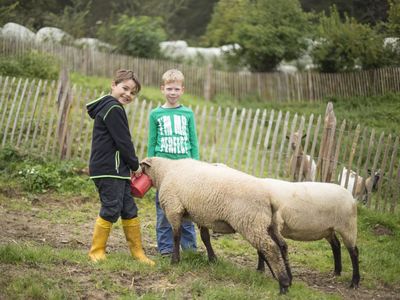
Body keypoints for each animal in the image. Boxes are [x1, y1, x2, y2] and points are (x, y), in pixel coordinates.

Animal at [141, 157, 290, 292]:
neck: (164, 171)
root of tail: (270, 197)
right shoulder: (201, 215)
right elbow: (205, 238)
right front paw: (213, 259)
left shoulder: (174, 209)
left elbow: (176, 236)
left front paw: (175, 261)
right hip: (267, 224)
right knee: (281, 245)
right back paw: (287, 277)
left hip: (251, 222)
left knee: (270, 248)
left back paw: (283, 283)